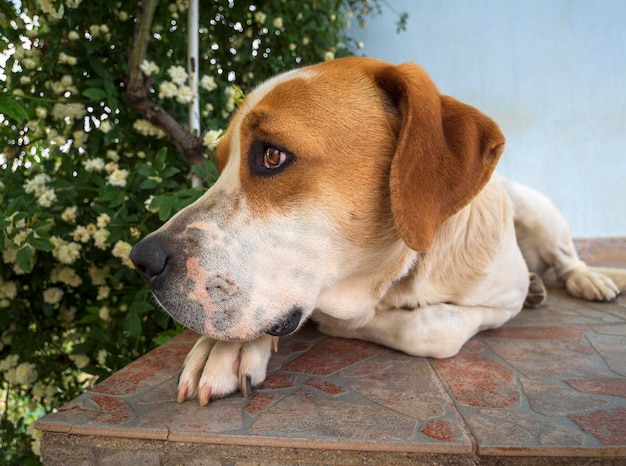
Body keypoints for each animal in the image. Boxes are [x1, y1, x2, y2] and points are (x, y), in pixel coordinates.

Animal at [130, 57, 624, 404]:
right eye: (219, 166)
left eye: (272, 155)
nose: (142, 261)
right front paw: (223, 347)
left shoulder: (504, 298)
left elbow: (430, 329)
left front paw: (349, 323)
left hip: (537, 209)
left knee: (567, 258)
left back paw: (587, 280)